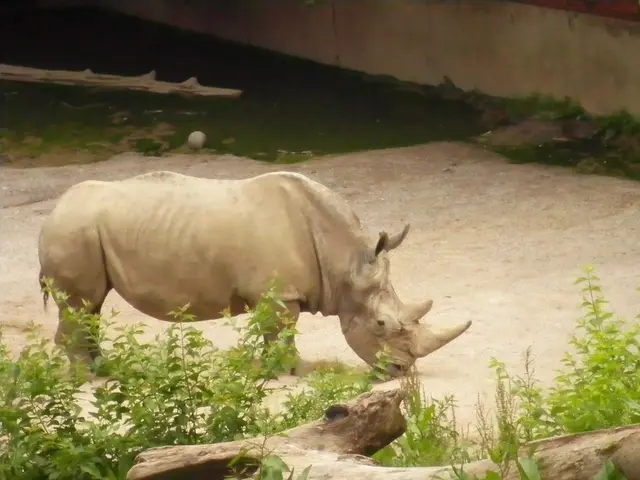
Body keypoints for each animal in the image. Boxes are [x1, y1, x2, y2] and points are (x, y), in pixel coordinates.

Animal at [37, 170, 471, 377]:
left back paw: (101, 369)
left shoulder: (277, 294)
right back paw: (89, 377)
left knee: (90, 307)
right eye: (381, 324)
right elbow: (280, 332)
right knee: (82, 304)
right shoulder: (278, 294)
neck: (344, 260)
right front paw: (289, 372)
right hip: (74, 230)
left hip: (79, 230)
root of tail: (52, 212)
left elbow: (274, 333)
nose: (401, 372)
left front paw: (281, 369)